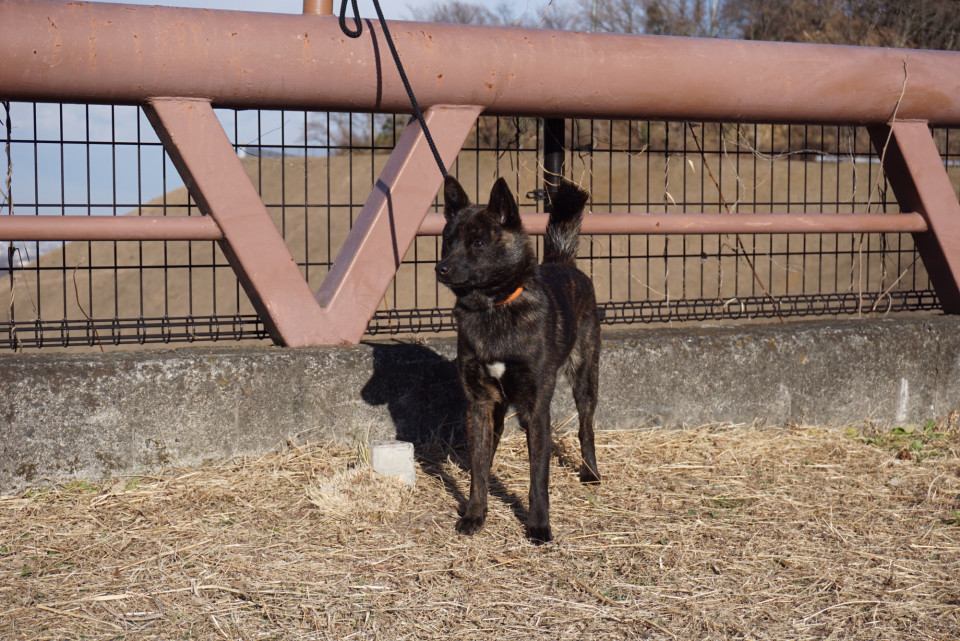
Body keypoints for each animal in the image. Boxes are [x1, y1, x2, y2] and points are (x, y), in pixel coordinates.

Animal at [436, 176, 600, 544]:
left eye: (479, 242)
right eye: (447, 242)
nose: (441, 269)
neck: (492, 309)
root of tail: (563, 262)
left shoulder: (536, 408)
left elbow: (538, 477)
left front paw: (538, 525)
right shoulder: (480, 404)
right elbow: (478, 470)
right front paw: (475, 514)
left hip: (585, 379)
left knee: (586, 428)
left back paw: (591, 472)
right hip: (501, 409)